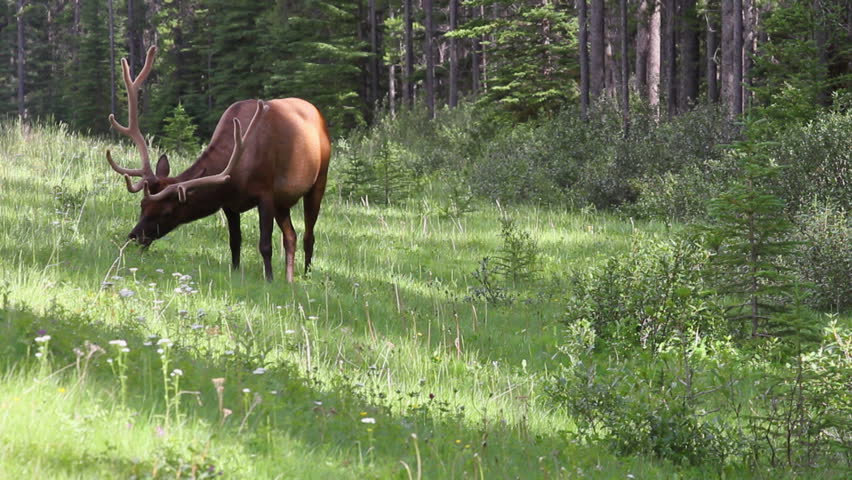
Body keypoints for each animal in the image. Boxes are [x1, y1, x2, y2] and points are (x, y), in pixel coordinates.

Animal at [106, 46, 331, 283]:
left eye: (167, 211)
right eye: (142, 205)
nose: (133, 236)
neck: (237, 172)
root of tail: (318, 112)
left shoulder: (266, 194)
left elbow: (265, 245)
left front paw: (269, 279)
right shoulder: (229, 203)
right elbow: (235, 242)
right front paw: (236, 271)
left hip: (318, 180)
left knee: (308, 235)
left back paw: (306, 276)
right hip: (283, 202)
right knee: (291, 236)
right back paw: (289, 280)